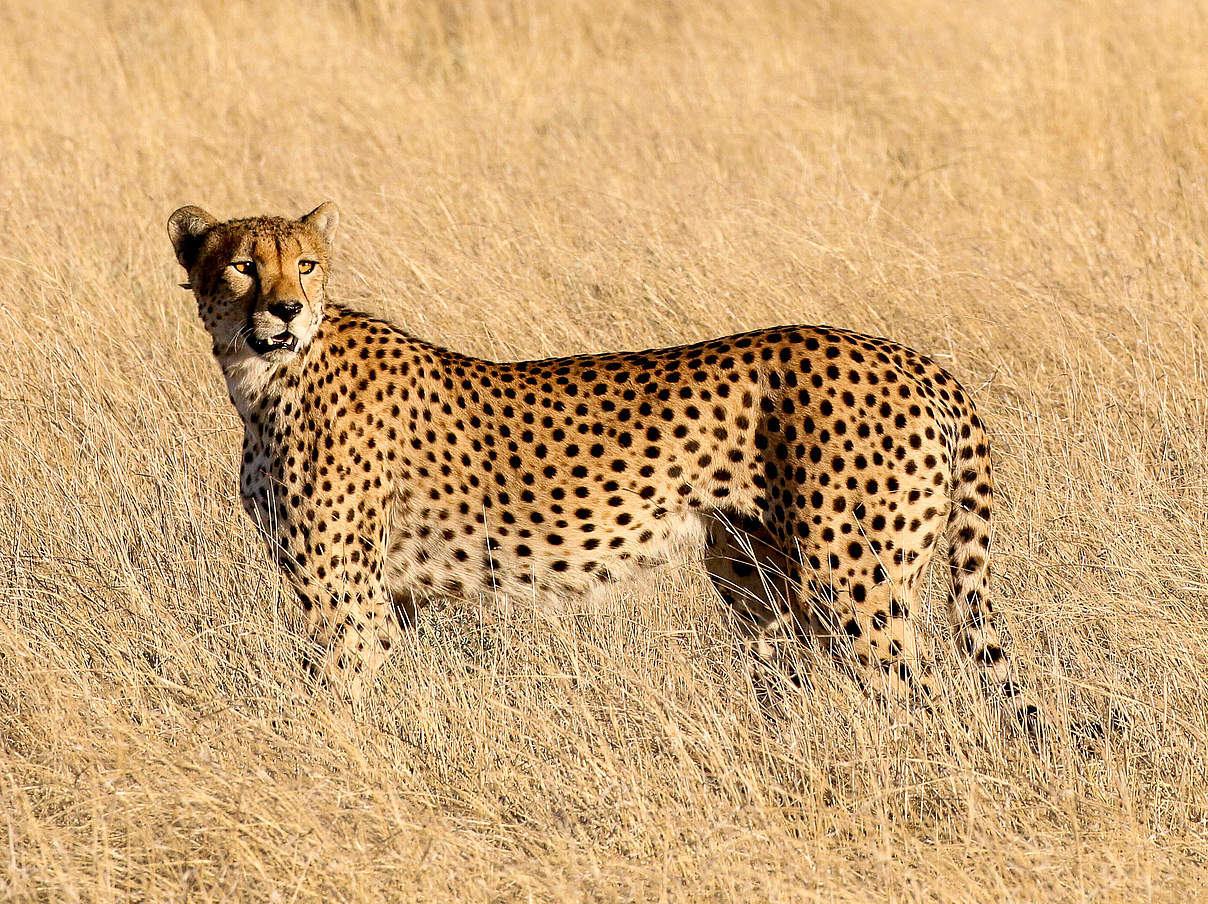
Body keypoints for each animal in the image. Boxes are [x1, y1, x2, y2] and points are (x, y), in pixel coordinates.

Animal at [170, 201, 1038, 725]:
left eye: (306, 264)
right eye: (242, 264)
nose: (285, 308)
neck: (263, 375)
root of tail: (915, 358)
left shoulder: (347, 604)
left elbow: (325, 702)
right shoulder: (392, 601)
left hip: (855, 582)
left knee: (918, 701)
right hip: (757, 575)